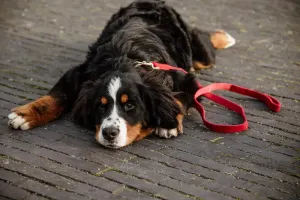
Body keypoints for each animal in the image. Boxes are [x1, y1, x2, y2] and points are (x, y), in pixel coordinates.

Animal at [7, 0, 236, 148]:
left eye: (130, 106)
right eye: (101, 105)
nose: (109, 133)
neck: (126, 58)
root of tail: (153, 2)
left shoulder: (186, 79)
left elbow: (179, 100)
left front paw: (168, 123)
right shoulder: (80, 73)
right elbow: (55, 97)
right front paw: (25, 114)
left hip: (201, 56)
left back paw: (223, 37)